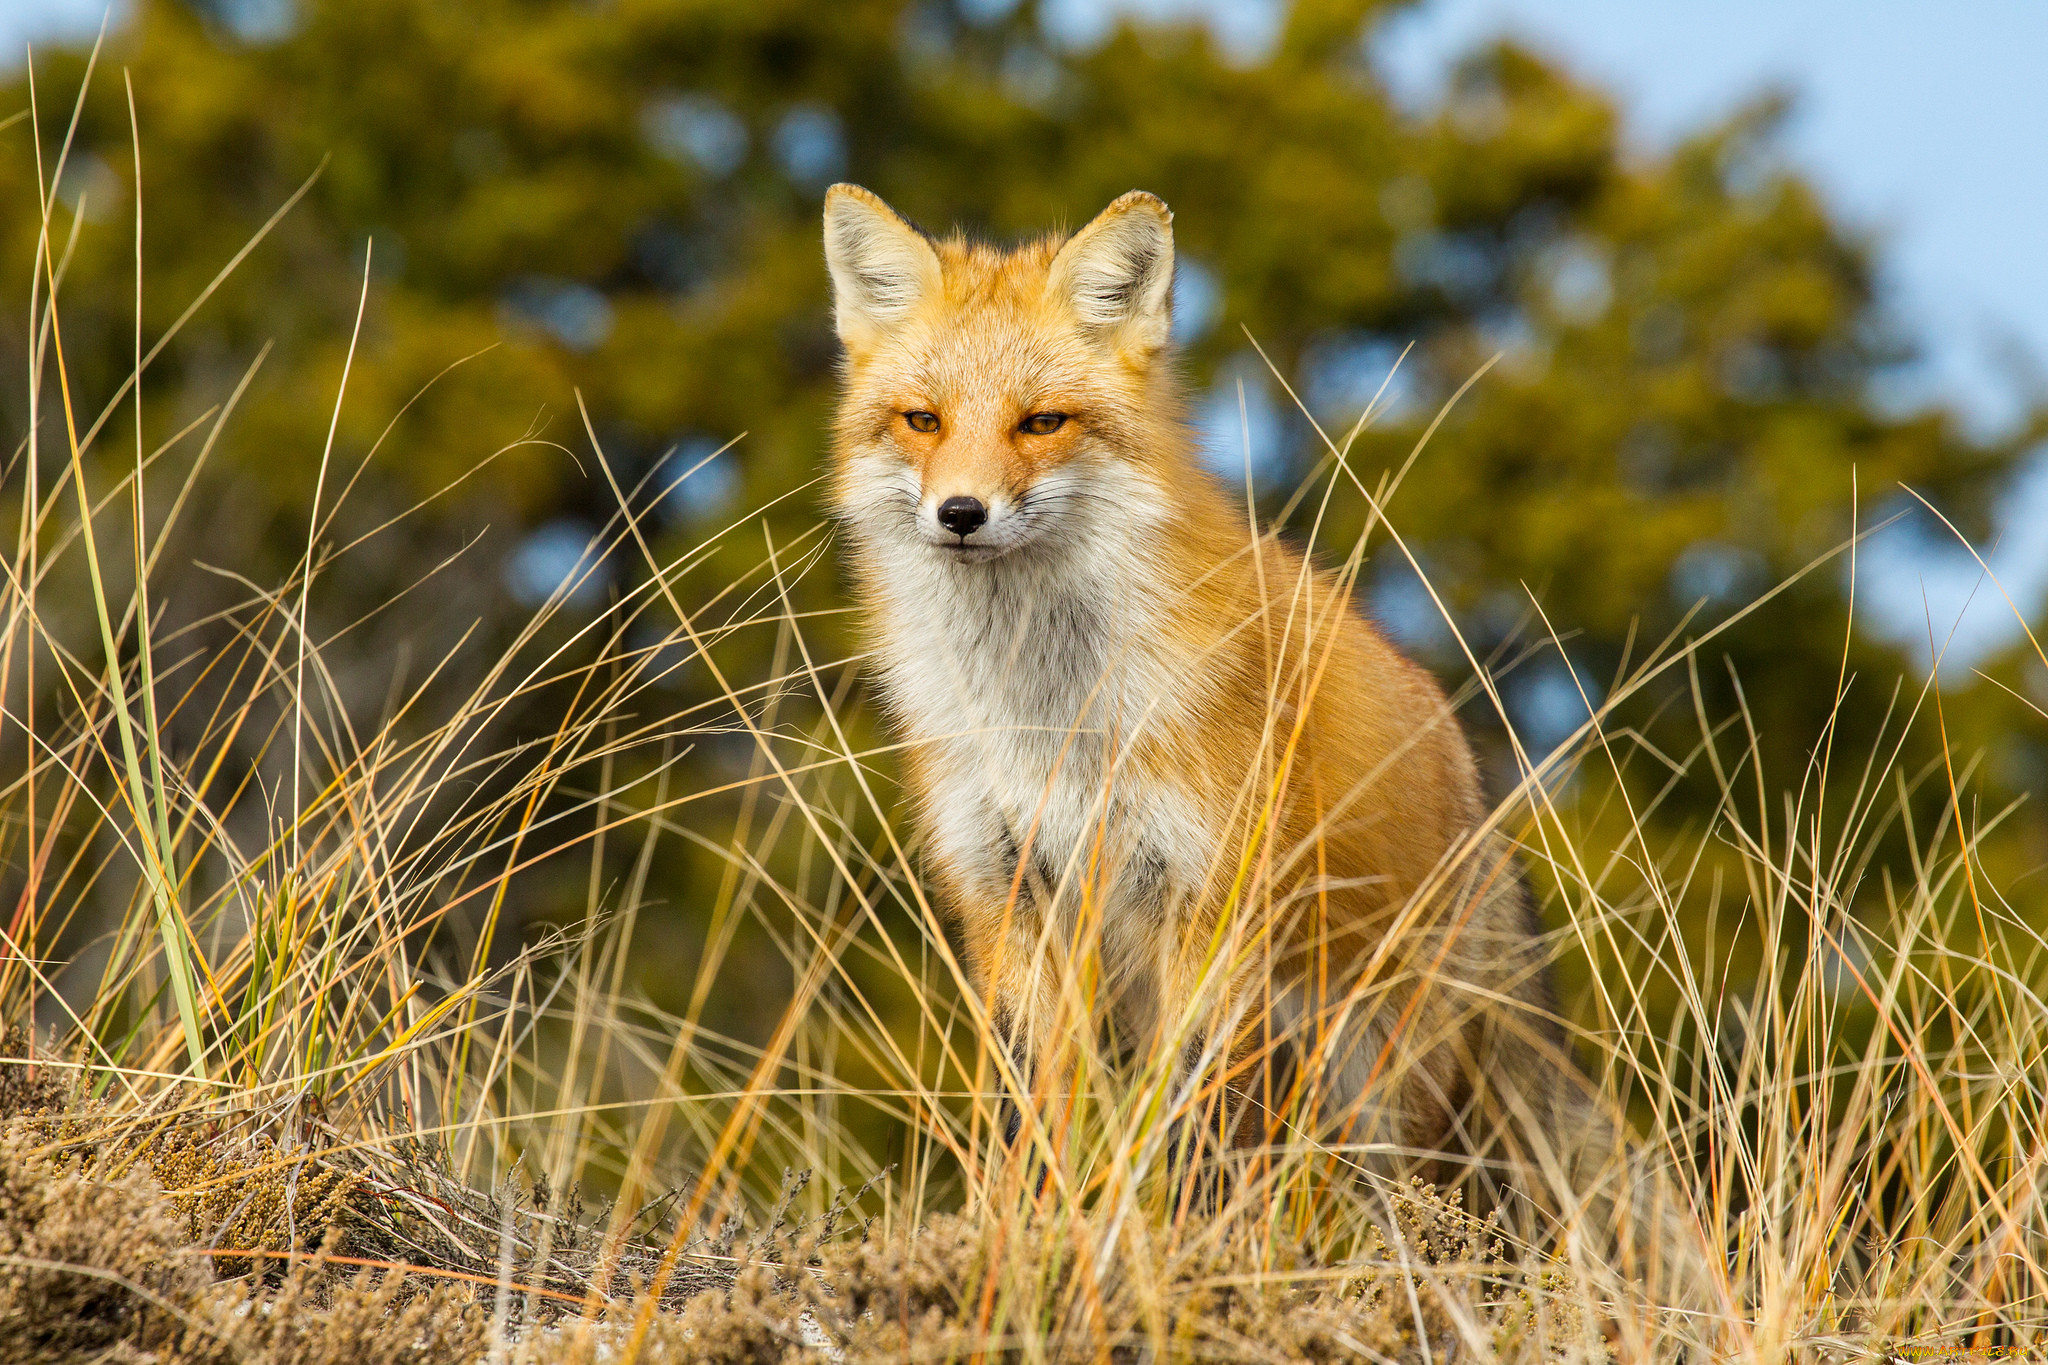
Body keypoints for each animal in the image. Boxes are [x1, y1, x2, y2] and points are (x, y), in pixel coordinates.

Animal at [815, 179, 1695, 1285]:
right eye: (922, 420)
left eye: (1041, 422)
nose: (960, 513)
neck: (1047, 712)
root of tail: (1475, 794)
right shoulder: (1006, 891)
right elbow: (1031, 1111)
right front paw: (1018, 1240)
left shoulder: (1206, 897)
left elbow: (1185, 1124)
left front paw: (1166, 1259)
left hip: (1376, 1078)